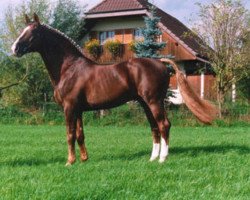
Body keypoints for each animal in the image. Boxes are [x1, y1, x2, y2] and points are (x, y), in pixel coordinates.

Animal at [10, 13, 216, 164]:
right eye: (23, 30)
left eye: (33, 32)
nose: (14, 48)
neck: (69, 68)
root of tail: (160, 63)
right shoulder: (78, 110)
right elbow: (80, 134)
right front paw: (84, 159)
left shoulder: (69, 108)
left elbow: (69, 134)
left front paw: (70, 161)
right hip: (145, 104)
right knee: (154, 127)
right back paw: (152, 158)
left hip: (154, 101)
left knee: (164, 125)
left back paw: (163, 159)